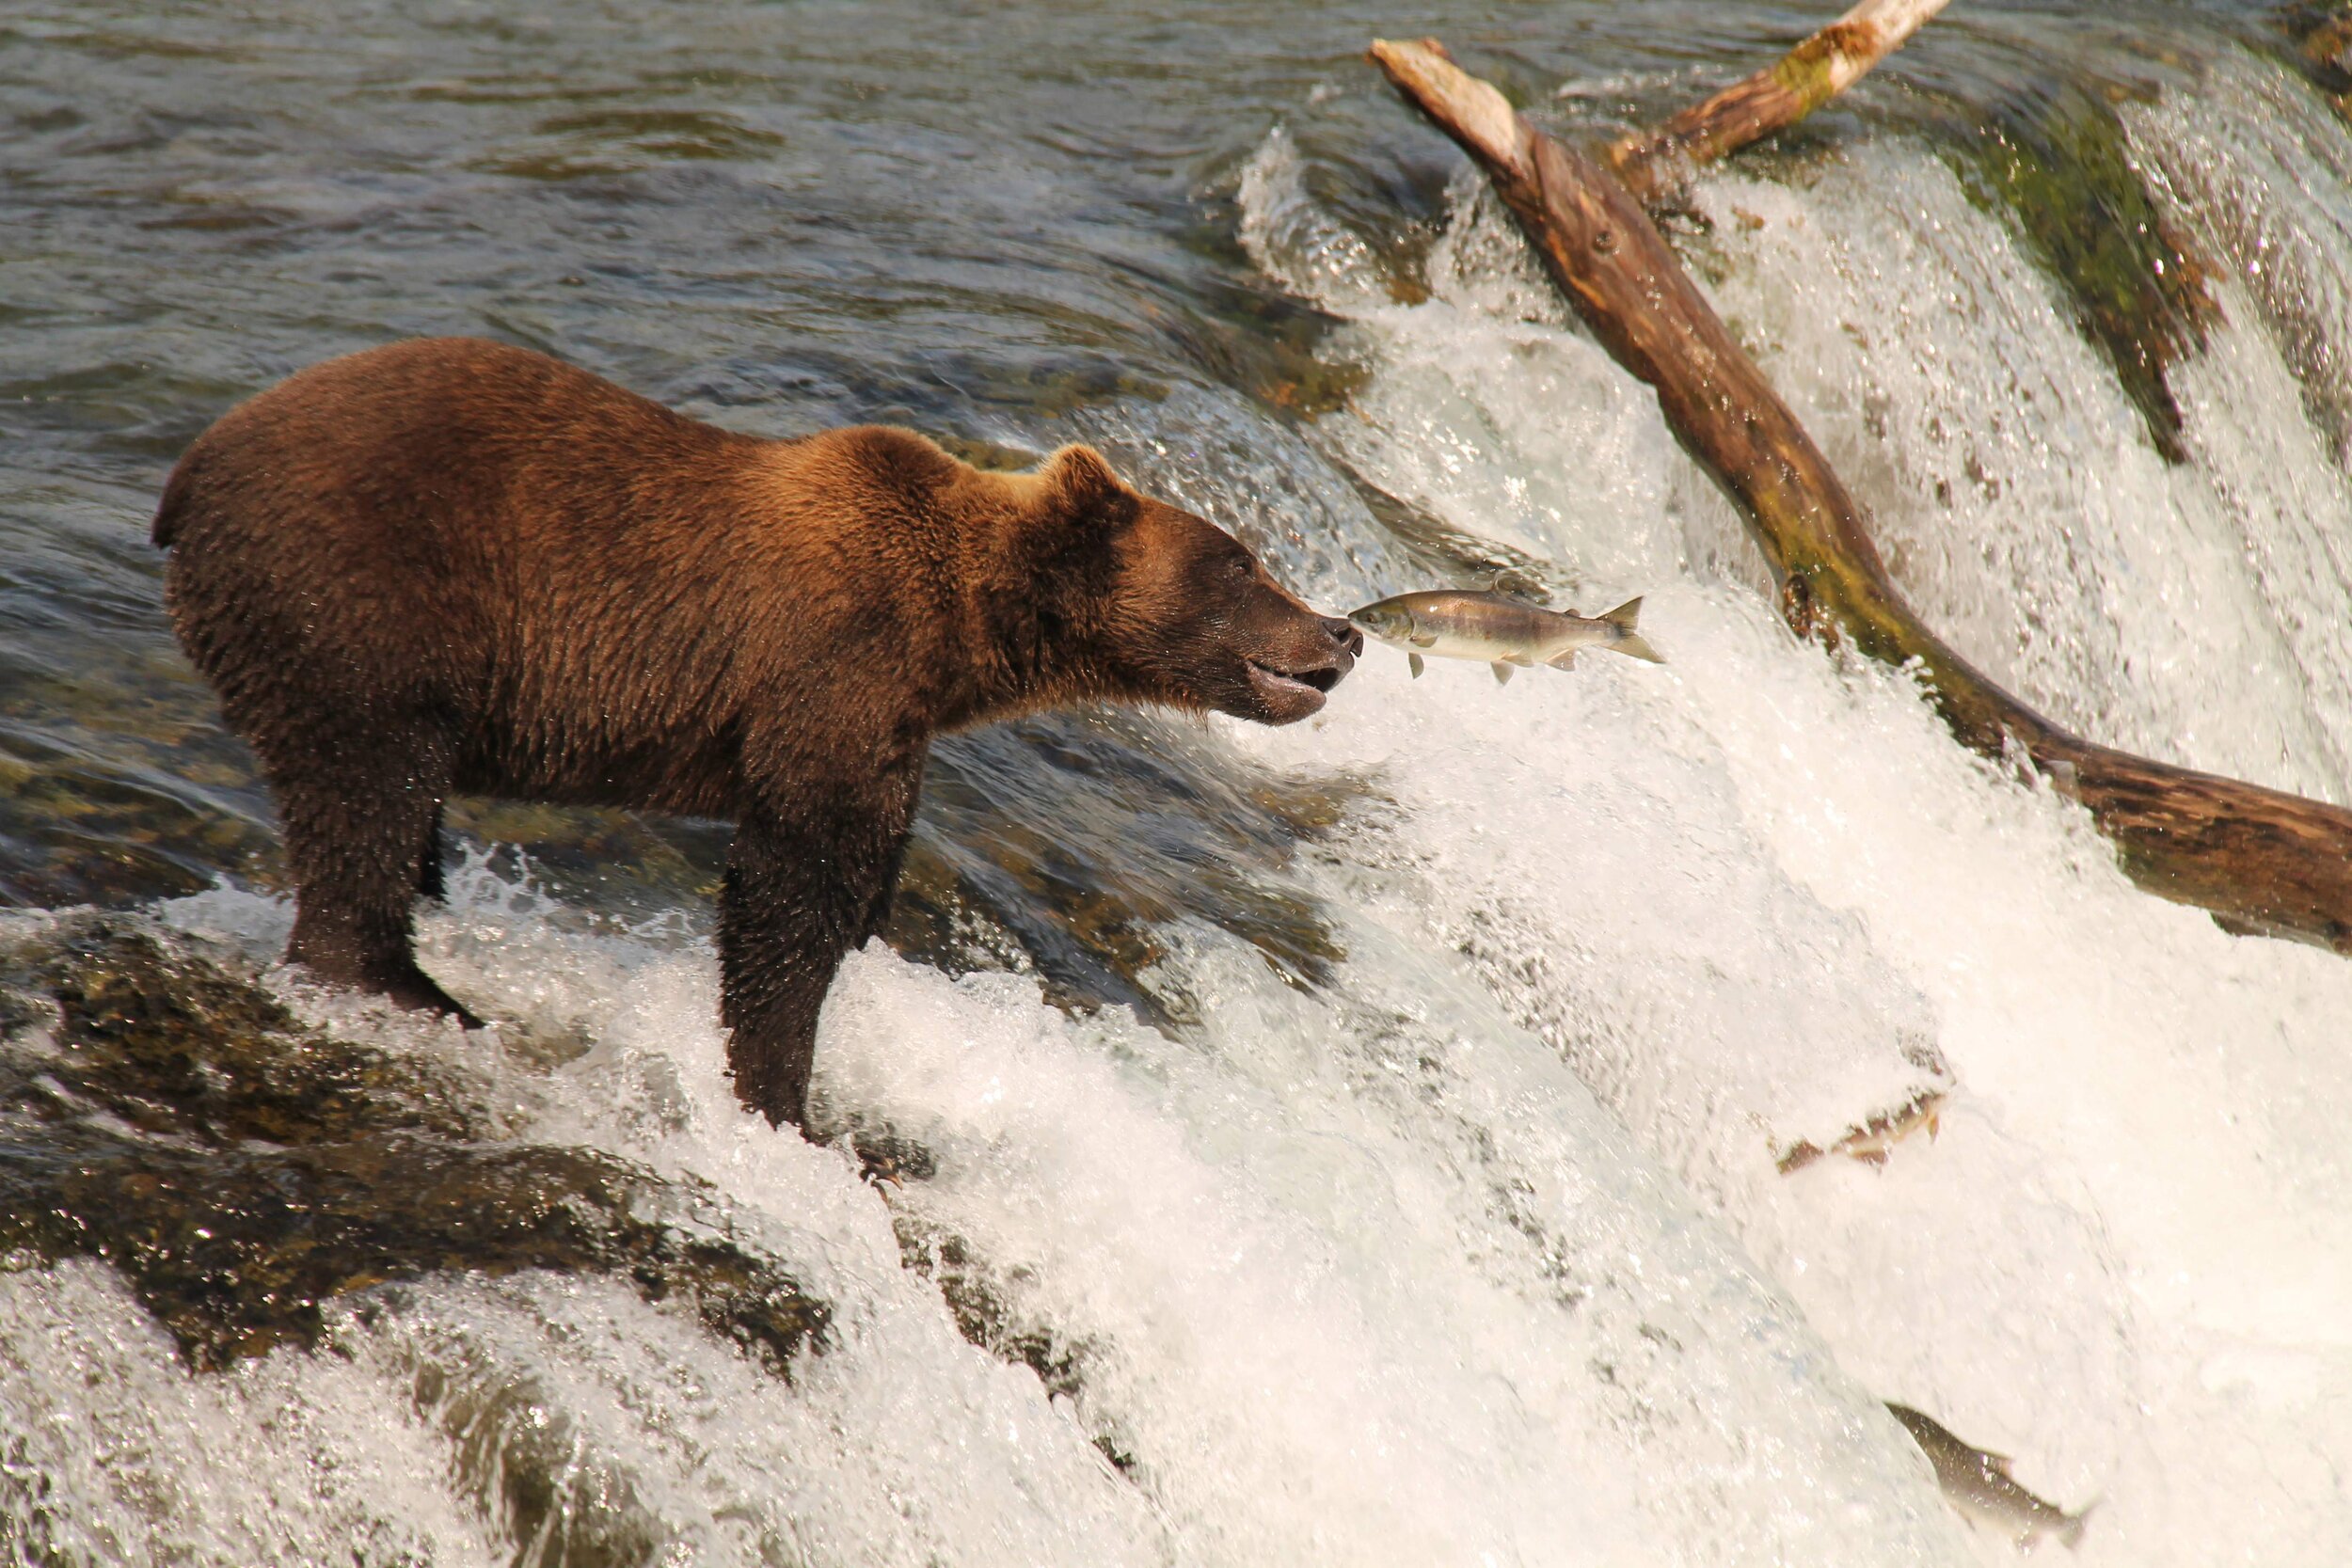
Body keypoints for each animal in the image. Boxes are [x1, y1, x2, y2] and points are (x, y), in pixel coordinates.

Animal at [151, 338, 1364, 1132]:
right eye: (1241, 562)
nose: (1344, 630)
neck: (961, 629)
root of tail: (186, 474)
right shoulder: (831, 666)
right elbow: (793, 886)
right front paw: (777, 1088)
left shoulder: (894, 715)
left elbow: (857, 873)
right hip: (357, 602)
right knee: (368, 787)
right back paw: (411, 988)